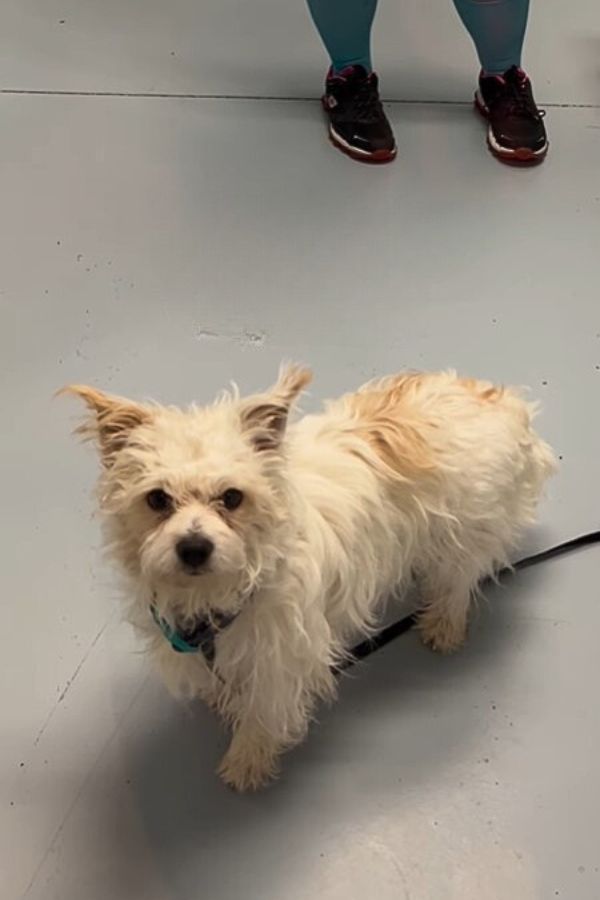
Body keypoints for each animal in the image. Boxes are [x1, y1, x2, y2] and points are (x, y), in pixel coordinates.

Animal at [64, 364, 552, 788]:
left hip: (467, 528)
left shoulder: (282, 661)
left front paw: (247, 760)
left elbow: (263, 713)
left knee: (458, 579)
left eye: (232, 497)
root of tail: (497, 399)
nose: (194, 547)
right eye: (158, 499)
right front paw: (222, 700)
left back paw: (443, 623)